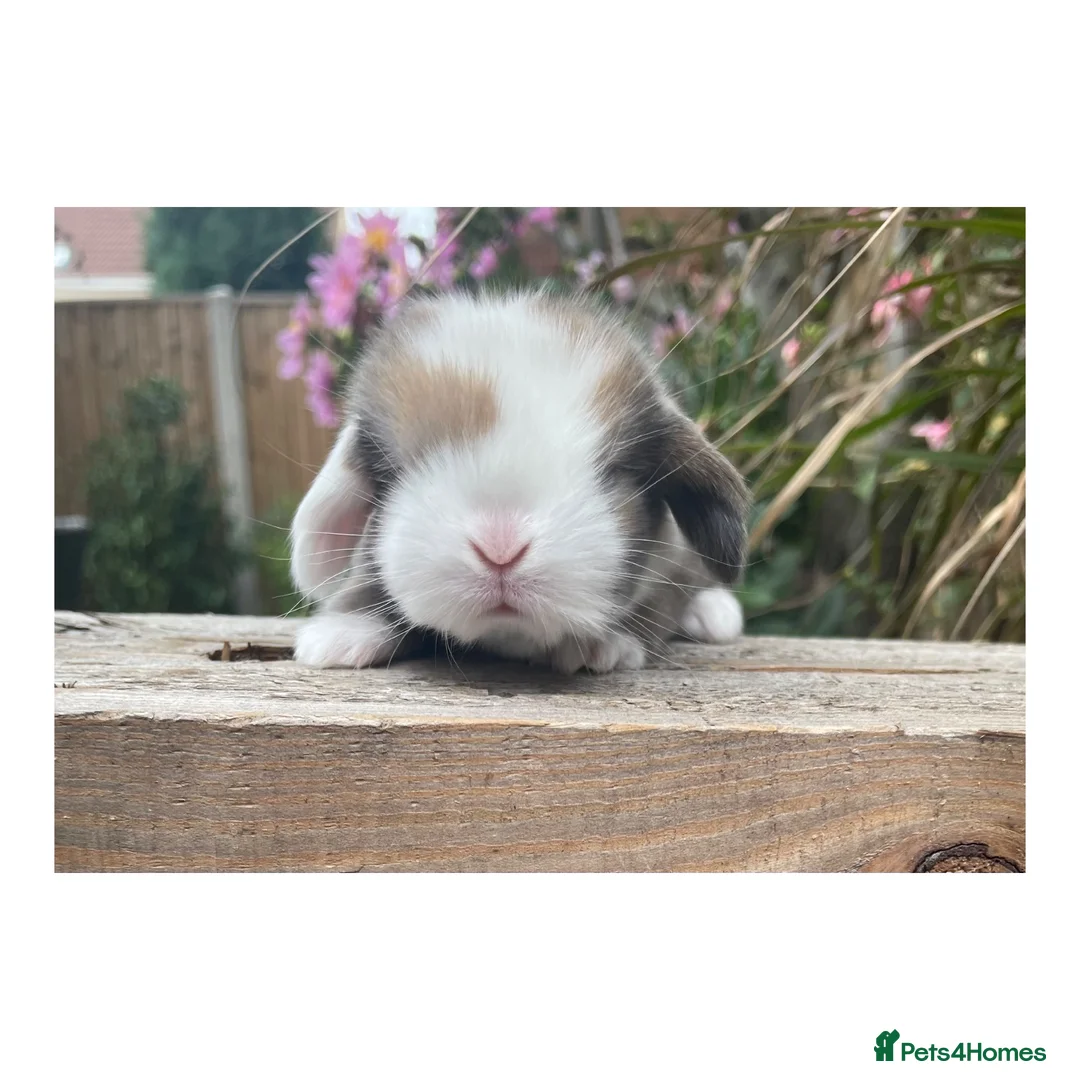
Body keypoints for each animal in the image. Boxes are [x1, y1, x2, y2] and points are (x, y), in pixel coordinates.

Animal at [290, 288, 750, 673]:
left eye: (614, 470)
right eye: (393, 471)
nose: (500, 550)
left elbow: (656, 605)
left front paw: (602, 647)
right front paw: (341, 635)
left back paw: (714, 616)